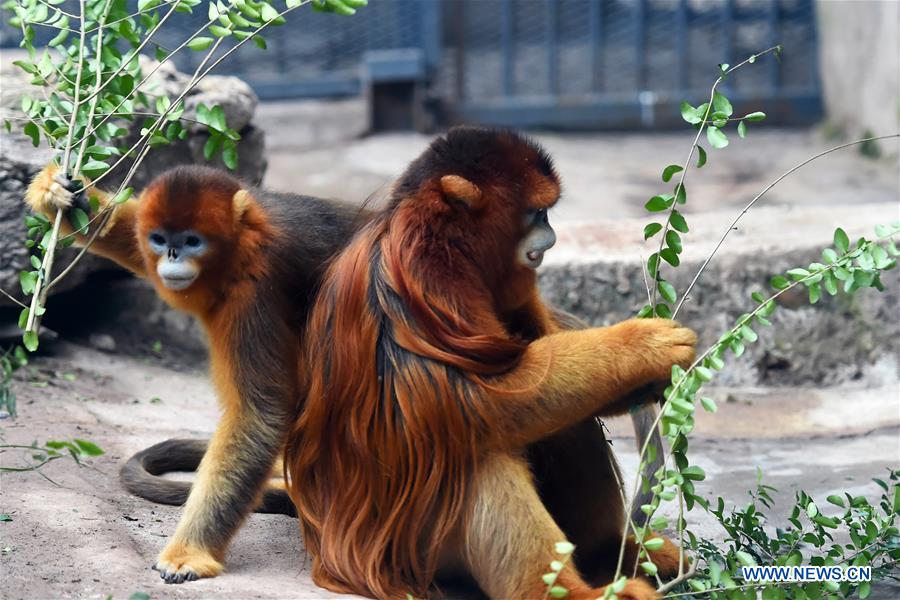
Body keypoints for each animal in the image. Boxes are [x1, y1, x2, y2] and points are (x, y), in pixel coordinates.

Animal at [26, 163, 368, 580]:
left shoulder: (254, 289)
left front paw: (190, 551)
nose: (172, 255)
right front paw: (62, 194)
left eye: (192, 242)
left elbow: (260, 413)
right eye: (160, 240)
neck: (246, 240)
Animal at [284, 126, 692, 600]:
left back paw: (607, 554)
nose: (550, 239)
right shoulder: (425, 276)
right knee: (476, 446)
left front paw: (651, 379)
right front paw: (643, 346)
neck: (444, 239)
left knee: (565, 420)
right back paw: (560, 590)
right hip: (416, 553)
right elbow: (482, 398)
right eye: (537, 214)